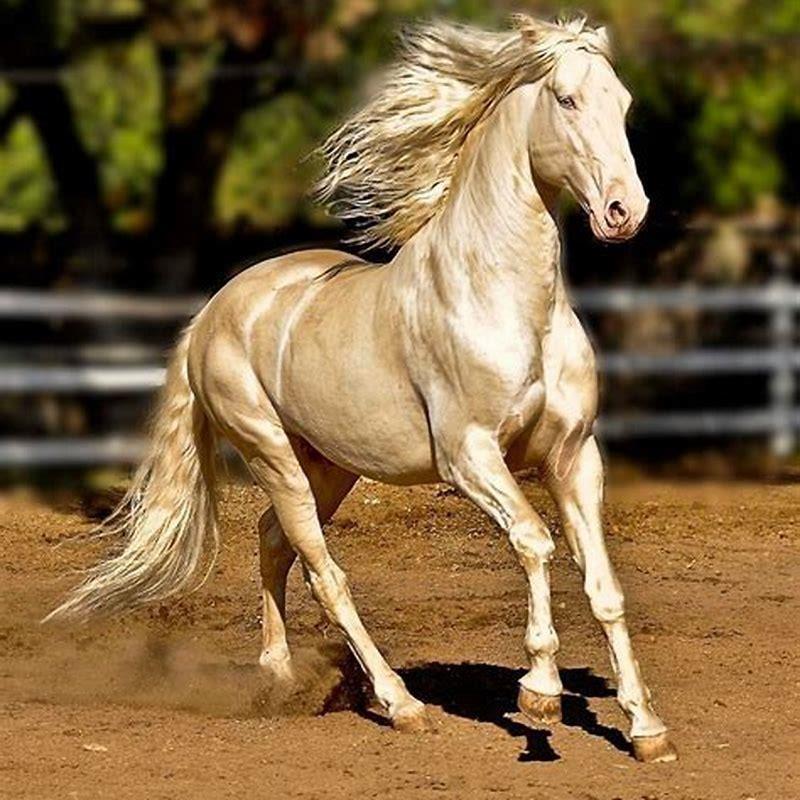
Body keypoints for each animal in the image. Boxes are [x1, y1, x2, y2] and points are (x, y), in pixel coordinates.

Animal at [46, 14, 676, 763]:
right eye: (567, 99)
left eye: (625, 103)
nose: (624, 210)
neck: (508, 302)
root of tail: (213, 312)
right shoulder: (470, 458)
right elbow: (535, 543)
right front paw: (540, 693)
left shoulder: (573, 455)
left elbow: (603, 585)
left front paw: (646, 728)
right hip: (271, 455)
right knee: (325, 573)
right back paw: (401, 704)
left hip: (328, 466)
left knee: (272, 542)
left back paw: (280, 678)